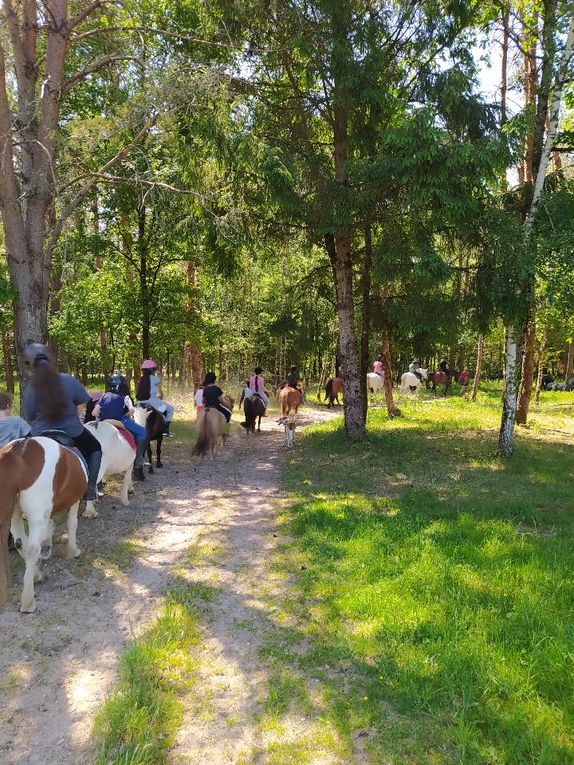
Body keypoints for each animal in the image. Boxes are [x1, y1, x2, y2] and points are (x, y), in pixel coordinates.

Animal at [0, 438, 88, 612]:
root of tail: (16, 453)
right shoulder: (74, 501)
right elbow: (72, 523)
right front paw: (72, 551)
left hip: (14, 515)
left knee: (21, 543)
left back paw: (36, 575)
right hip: (35, 516)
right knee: (32, 549)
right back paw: (28, 601)